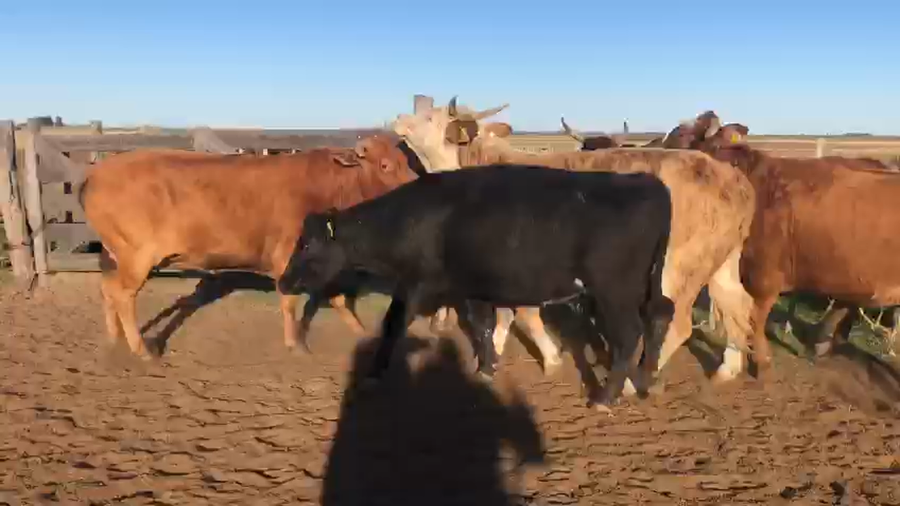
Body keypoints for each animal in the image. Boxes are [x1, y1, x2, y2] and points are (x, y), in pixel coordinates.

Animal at [79, 135, 421, 358]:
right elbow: (290, 301)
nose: (418, 188)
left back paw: (114, 337)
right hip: (136, 256)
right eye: (385, 165)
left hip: (116, 256)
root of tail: (96, 173)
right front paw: (295, 344)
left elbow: (336, 298)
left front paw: (363, 334)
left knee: (107, 289)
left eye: (406, 160)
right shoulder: (287, 257)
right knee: (122, 295)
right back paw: (141, 348)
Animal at [277, 164, 676, 411]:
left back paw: (606, 397)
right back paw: (645, 380)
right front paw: (486, 368)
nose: (283, 281)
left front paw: (374, 374)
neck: (413, 217)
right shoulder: (471, 287)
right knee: (659, 315)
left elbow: (392, 325)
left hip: (613, 290)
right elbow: (482, 326)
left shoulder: (416, 283)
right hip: (646, 284)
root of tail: (646, 181)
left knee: (628, 333)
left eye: (307, 244)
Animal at [391, 96, 758, 396]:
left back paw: (632, 381)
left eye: (430, 117)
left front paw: (549, 357)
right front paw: (492, 357)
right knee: (738, 304)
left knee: (675, 322)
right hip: (720, 261)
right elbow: (506, 313)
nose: (397, 118)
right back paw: (728, 368)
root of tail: (731, 178)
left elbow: (523, 314)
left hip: (677, 267)